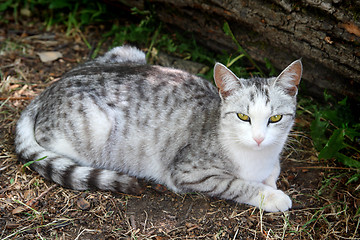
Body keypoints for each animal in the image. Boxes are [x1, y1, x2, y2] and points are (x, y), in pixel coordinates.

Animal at [16, 45, 304, 212]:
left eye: (275, 118)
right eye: (243, 116)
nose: (259, 138)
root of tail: (47, 89)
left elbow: (274, 169)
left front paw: (271, 178)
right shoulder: (189, 173)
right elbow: (239, 184)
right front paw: (273, 196)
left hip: (129, 50)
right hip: (94, 130)